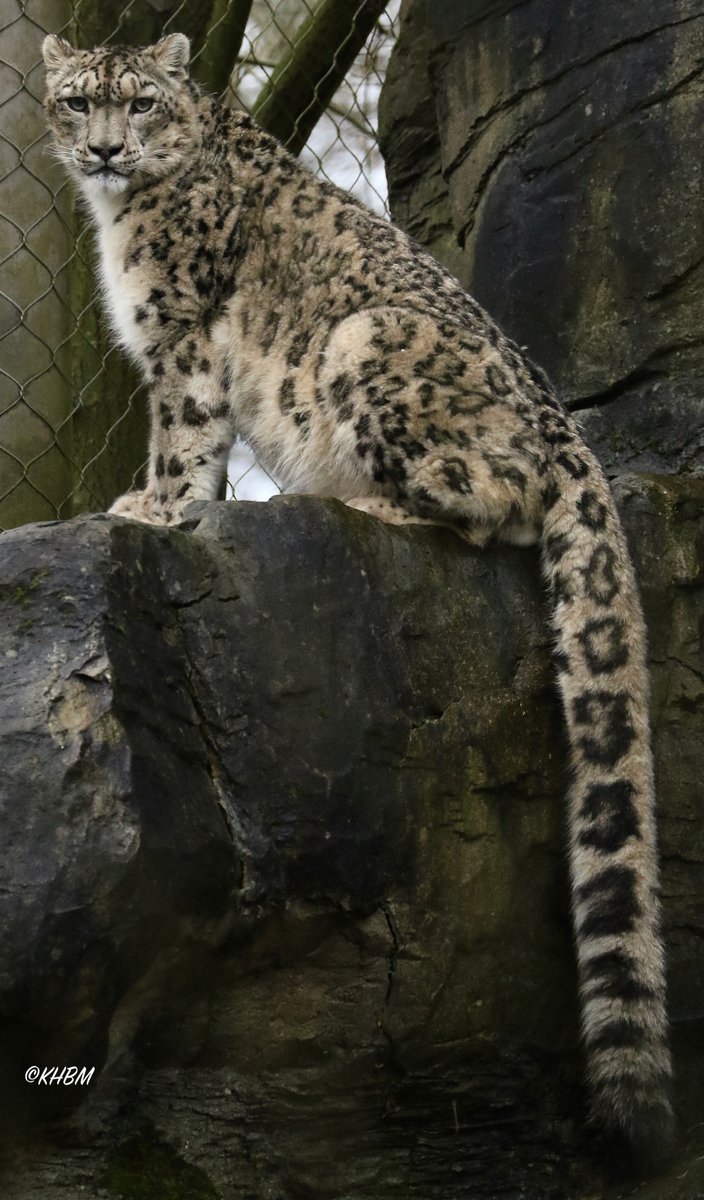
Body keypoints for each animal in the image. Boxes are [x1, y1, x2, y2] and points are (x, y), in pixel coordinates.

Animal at [43, 31, 674, 1166]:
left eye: (142, 105)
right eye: (79, 101)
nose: (108, 150)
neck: (120, 219)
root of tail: (568, 425)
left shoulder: (183, 336)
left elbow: (185, 431)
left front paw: (153, 508)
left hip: (366, 347)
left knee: (494, 501)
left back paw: (362, 501)